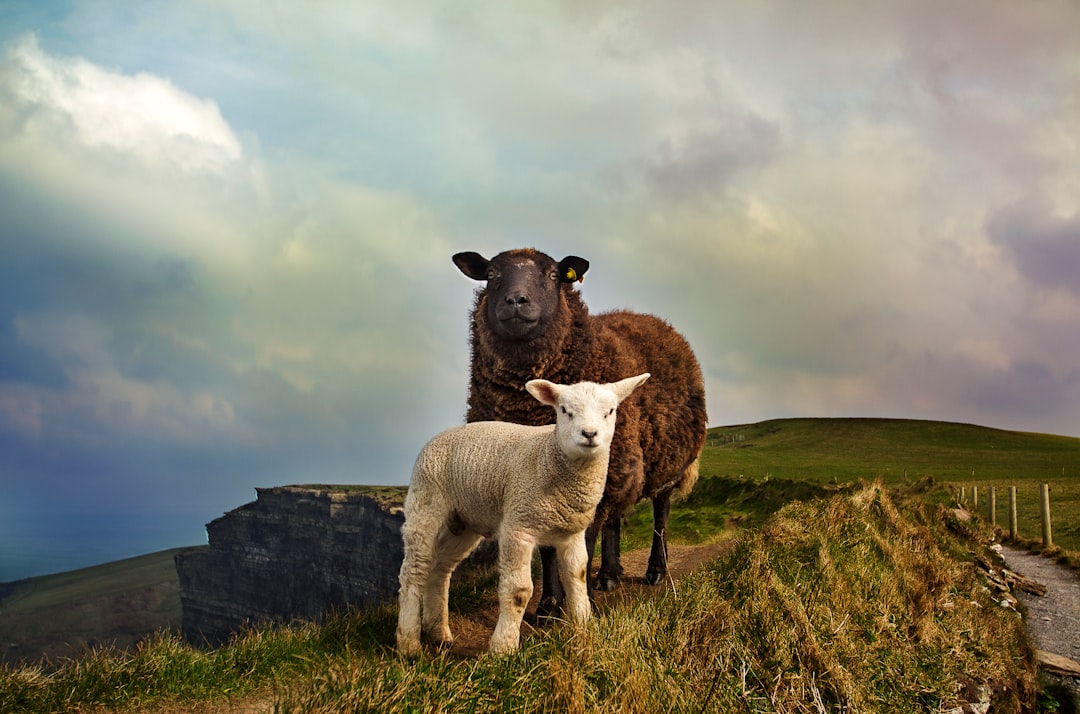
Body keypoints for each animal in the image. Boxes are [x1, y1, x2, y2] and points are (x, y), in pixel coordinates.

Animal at [397, 369, 648, 652]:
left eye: (610, 411)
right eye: (564, 410)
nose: (589, 433)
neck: (548, 456)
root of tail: (439, 436)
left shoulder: (571, 533)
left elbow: (578, 576)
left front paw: (584, 628)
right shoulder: (518, 526)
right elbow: (519, 590)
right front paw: (503, 647)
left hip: (464, 521)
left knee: (440, 568)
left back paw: (438, 632)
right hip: (426, 502)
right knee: (414, 570)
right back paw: (409, 644)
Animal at [449, 246, 708, 613]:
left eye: (553, 275)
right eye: (492, 274)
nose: (516, 300)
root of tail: (654, 319)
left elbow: (580, 545)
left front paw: (574, 605)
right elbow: (548, 549)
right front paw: (548, 606)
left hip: (665, 464)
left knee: (660, 515)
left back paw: (656, 571)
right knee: (616, 518)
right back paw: (609, 576)